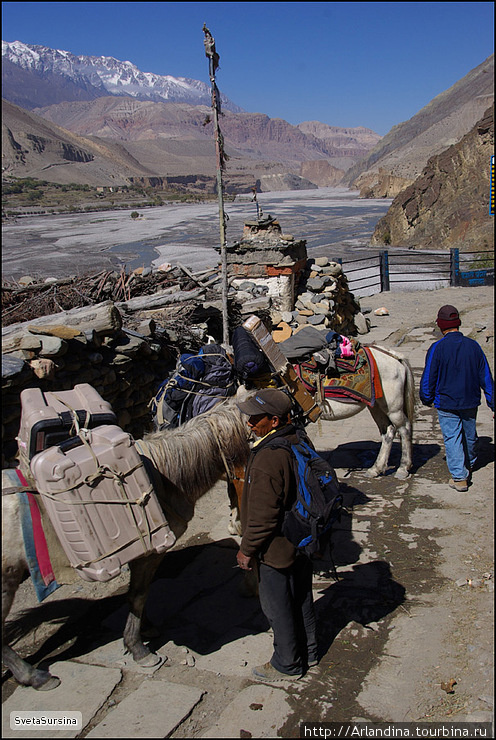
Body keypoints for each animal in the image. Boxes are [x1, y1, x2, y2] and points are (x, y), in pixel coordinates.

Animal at [1, 398, 250, 692]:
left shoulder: (140, 552)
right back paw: (34, 676)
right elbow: (138, 594)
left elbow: (137, 593)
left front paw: (145, 628)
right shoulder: (151, 551)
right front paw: (138, 647)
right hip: (6, 582)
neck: (163, 477)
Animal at [318, 346, 414, 480]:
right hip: (377, 406)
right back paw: (375, 469)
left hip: (393, 409)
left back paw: (403, 468)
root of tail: (395, 356)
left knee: (405, 429)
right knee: (388, 431)